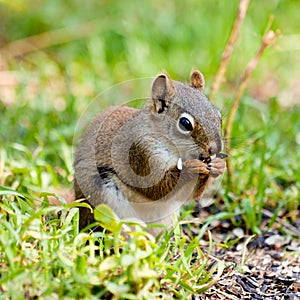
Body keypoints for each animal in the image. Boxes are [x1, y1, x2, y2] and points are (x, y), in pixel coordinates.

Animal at [74, 70, 226, 234]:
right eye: (185, 123)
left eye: (218, 116)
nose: (216, 148)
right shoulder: (141, 153)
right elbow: (156, 188)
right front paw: (191, 168)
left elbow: (189, 196)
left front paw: (219, 166)